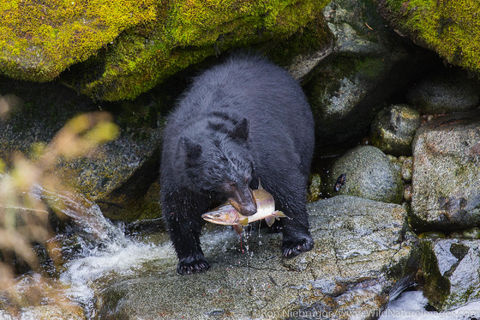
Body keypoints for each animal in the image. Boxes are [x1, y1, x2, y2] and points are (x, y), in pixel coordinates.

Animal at [161, 53, 316, 274]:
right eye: (227, 183)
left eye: (247, 176)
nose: (251, 209)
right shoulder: (178, 170)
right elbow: (179, 208)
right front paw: (192, 262)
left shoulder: (261, 150)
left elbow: (285, 184)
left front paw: (296, 243)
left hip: (301, 129)